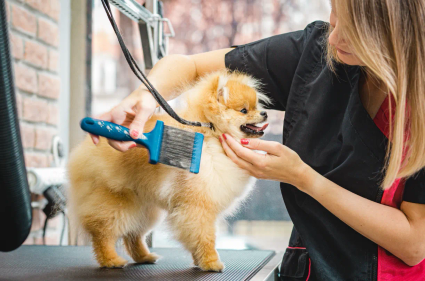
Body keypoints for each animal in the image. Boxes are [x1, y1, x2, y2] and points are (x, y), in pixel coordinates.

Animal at [68, 69, 270, 270]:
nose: (265, 113)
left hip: (144, 208)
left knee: (133, 234)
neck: (212, 135)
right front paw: (210, 262)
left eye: (256, 106)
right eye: (244, 110)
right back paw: (111, 260)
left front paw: (199, 261)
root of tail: (84, 147)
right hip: (116, 203)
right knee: (103, 232)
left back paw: (144, 256)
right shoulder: (198, 206)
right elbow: (204, 237)